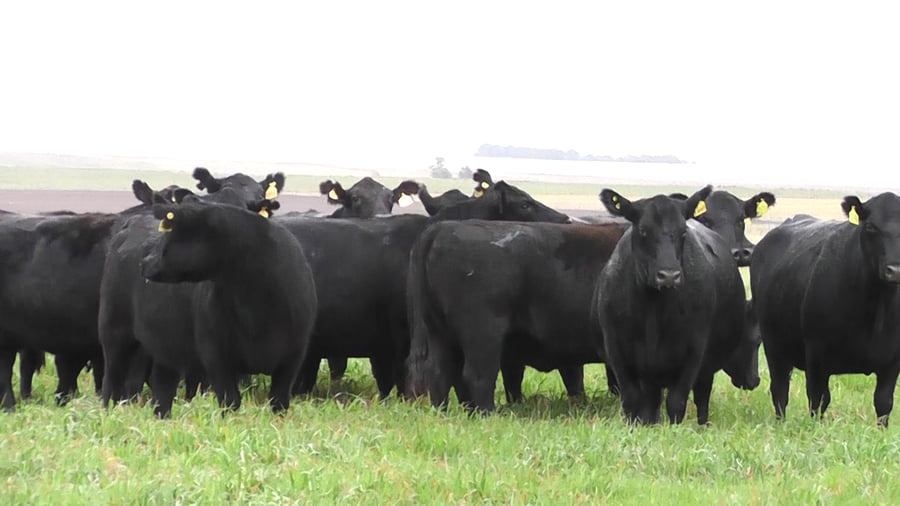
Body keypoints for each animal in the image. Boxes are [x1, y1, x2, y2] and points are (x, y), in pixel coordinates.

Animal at [134, 200, 315, 414]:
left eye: (175, 233)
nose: (144, 261)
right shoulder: (215, 353)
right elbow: (230, 401)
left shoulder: (293, 355)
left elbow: (278, 401)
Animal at [404, 220, 628, 413]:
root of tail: (443, 227)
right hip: (482, 333)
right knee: (477, 375)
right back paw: (486, 414)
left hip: (438, 332)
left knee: (439, 373)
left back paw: (444, 413)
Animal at [595, 186, 752, 425]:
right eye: (643, 231)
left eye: (683, 232)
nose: (668, 275)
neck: (652, 310)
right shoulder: (617, 349)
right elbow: (631, 400)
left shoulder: (694, 350)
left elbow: (677, 401)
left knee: (701, 396)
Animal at [751, 193, 900, 426]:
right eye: (870, 227)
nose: (895, 270)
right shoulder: (816, 353)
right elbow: (819, 398)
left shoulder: (892, 361)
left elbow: (884, 403)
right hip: (773, 345)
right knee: (779, 390)